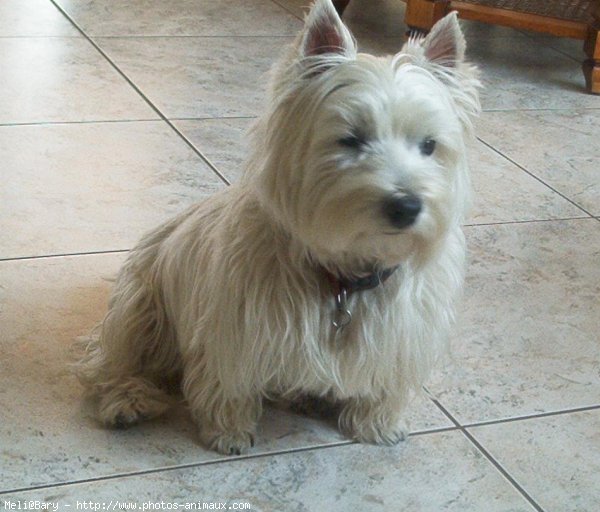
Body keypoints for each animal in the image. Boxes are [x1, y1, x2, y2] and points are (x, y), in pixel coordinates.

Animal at [75, 0, 480, 456]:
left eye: (429, 145)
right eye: (351, 140)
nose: (407, 206)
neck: (345, 275)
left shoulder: (401, 334)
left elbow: (384, 386)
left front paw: (377, 425)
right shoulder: (234, 328)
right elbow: (228, 383)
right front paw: (229, 432)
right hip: (140, 307)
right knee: (110, 360)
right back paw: (127, 400)